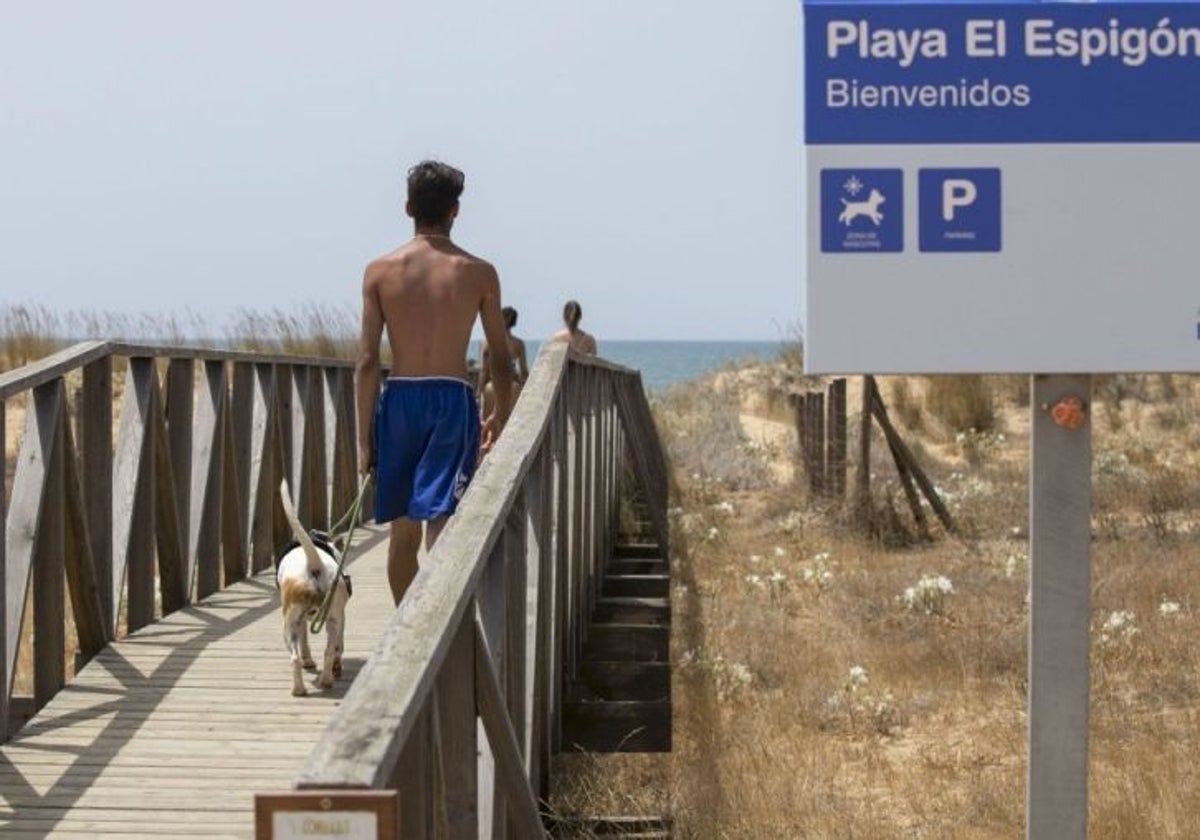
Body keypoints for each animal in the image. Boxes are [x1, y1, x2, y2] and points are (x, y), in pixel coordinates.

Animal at [279, 480, 350, 696]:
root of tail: (314, 566)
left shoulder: (301, 620)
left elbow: (304, 642)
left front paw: (308, 661)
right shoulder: (341, 616)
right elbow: (338, 646)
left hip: (290, 624)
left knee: (295, 657)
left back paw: (299, 689)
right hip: (333, 618)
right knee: (330, 650)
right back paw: (327, 680)